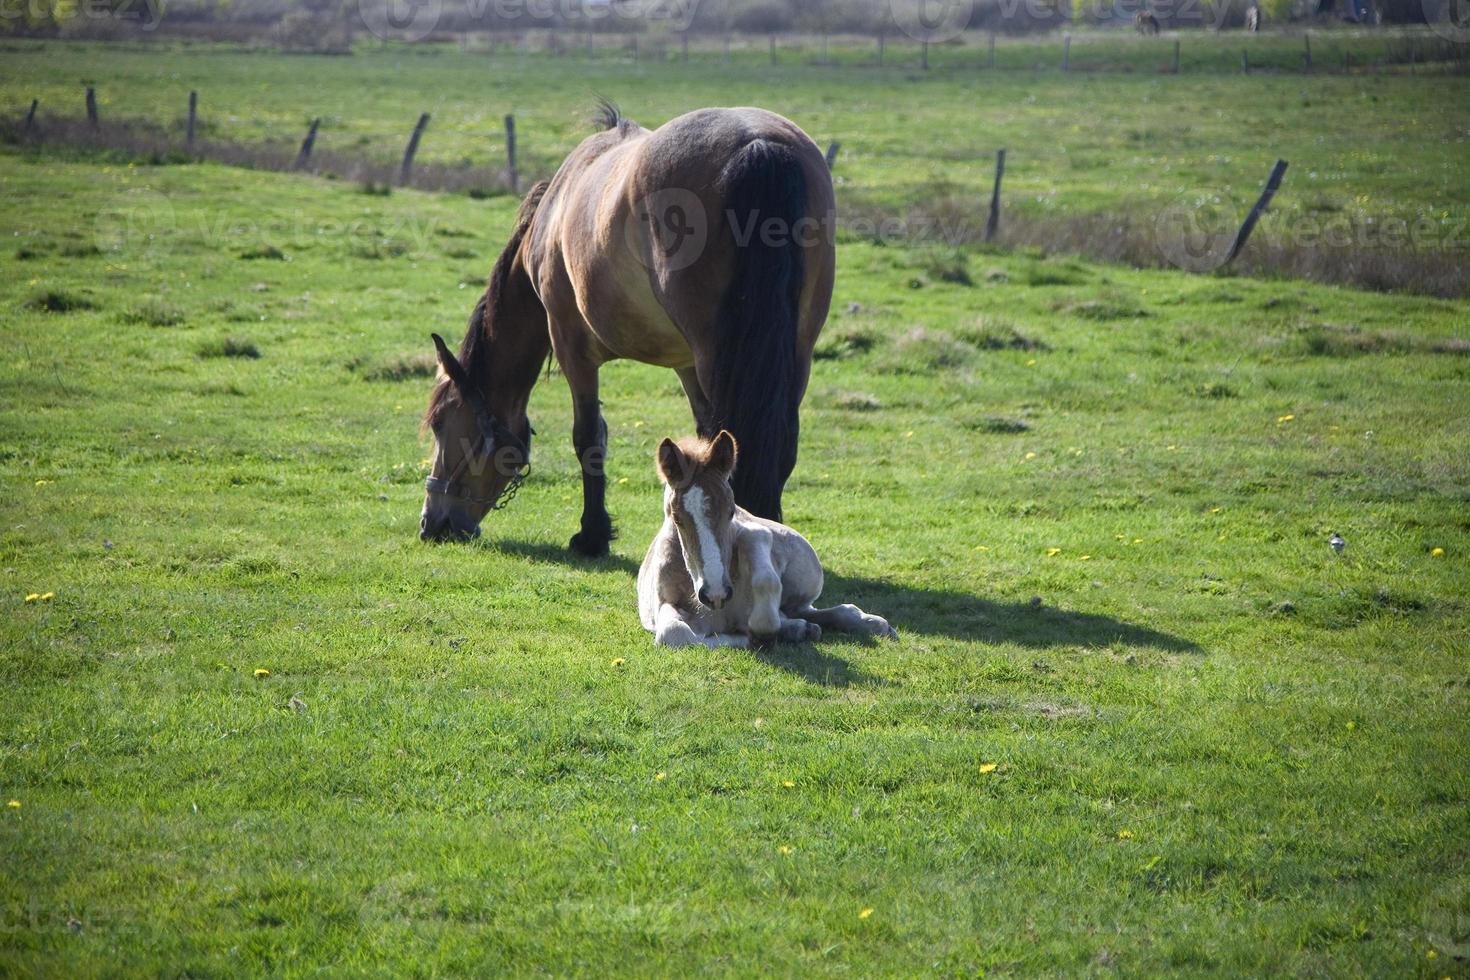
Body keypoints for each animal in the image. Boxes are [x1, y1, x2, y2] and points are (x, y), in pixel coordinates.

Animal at [420, 105, 834, 558]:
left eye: (440, 422)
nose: (431, 524)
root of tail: (757, 145)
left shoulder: (571, 346)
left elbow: (588, 437)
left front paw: (592, 534)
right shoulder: (686, 364)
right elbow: (708, 438)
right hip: (794, 353)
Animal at [640, 431, 899, 646]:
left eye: (731, 511)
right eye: (676, 518)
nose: (716, 594)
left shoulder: (753, 539)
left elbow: (760, 559)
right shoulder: (664, 604)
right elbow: (676, 634)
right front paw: (759, 634)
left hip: (805, 575)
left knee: (816, 608)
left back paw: (873, 624)